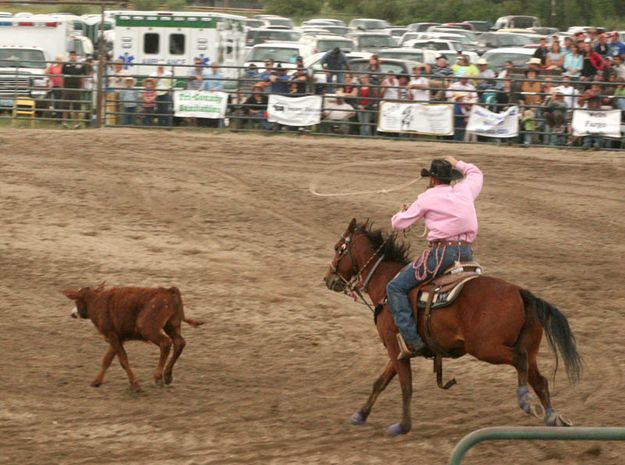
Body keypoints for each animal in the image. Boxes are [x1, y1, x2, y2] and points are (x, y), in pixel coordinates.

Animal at [62, 284, 202, 390]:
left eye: (76, 301)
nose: (72, 313)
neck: (96, 302)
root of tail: (168, 291)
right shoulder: (117, 337)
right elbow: (107, 360)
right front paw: (96, 382)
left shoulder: (112, 335)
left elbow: (123, 360)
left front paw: (135, 384)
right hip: (172, 324)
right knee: (179, 342)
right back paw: (167, 375)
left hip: (148, 329)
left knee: (166, 343)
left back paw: (158, 376)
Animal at [324, 218, 584, 436]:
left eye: (338, 248)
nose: (328, 279)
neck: (387, 285)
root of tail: (521, 293)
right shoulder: (398, 350)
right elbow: (380, 381)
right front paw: (360, 414)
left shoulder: (394, 347)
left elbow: (405, 386)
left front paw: (403, 426)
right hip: (530, 350)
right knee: (539, 380)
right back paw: (552, 418)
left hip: (486, 347)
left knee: (519, 361)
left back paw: (525, 401)